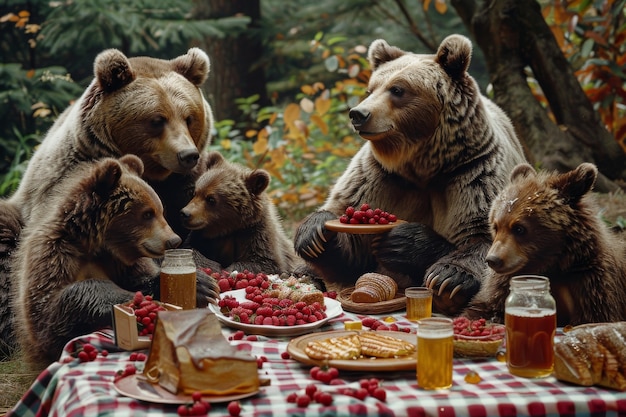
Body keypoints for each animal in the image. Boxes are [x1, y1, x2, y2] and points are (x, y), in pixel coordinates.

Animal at [12, 154, 197, 364]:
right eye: (147, 213)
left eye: (160, 210)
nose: (174, 240)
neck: (94, 246)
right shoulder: (53, 257)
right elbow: (47, 313)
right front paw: (130, 299)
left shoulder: (123, 262)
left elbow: (144, 278)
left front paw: (203, 284)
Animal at [292, 35, 528, 316]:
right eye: (371, 89)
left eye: (398, 89)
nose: (358, 114)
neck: (423, 165)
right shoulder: (378, 176)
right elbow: (352, 250)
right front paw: (315, 233)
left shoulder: (474, 171)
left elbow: (485, 235)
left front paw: (444, 274)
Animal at [460, 161, 624, 326]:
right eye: (495, 226)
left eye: (519, 228)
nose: (493, 260)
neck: (550, 265)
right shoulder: (501, 287)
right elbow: (484, 307)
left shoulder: (591, 283)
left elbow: (594, 315)